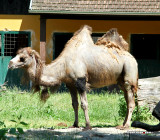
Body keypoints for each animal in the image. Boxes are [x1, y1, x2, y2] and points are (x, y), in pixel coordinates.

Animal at [8, 25, 138, 130]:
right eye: (17, 55)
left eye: (22, 58)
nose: (10, 64)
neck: (63, 66)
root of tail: (132, 57)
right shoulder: (70, 84)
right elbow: (74, 104)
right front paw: (75, 124)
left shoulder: (80, 81)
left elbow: (84, 104)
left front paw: (87, 126)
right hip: (120, 80)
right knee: (127, 100)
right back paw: (122, 124)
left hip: (129, 73)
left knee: (131, 101)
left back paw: (126, 126)